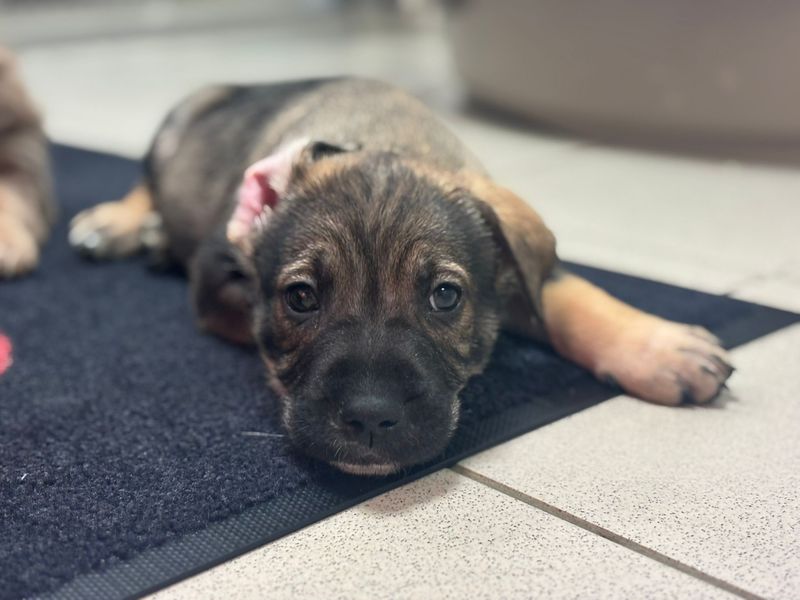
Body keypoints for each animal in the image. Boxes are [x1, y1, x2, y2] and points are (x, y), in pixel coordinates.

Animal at [69, 78, 733, 475]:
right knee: (147, 180)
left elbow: (568, 297)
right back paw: (121, 223)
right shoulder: (216, 283)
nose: (370, 417)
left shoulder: (514, 272)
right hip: (177, 123)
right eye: (300, 298)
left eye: (445, 297)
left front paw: (661, 348)